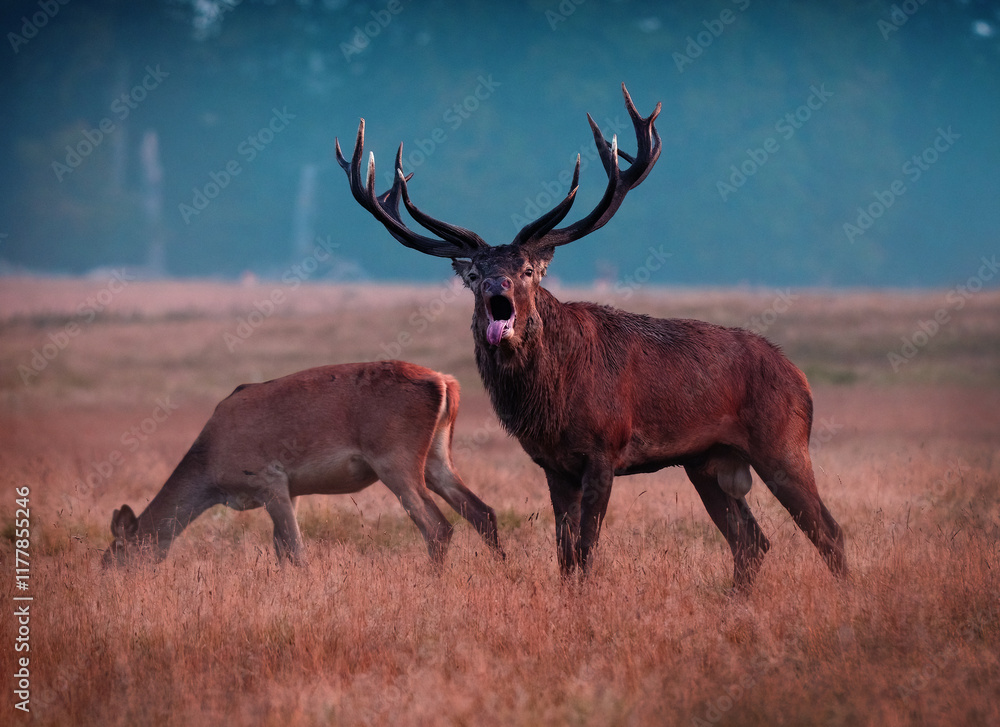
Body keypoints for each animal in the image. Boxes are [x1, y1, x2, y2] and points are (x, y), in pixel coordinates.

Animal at [103, 361, 504, 567]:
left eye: (117, 552)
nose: (108, 576)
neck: (211, 470)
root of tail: (446, 383)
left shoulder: (268, 480)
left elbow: (295, 552)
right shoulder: (290, 491)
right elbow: (282, 551)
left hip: (395, 460)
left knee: (437, 526)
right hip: (436, 456)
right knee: (482, 511)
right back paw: (504, 572)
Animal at [335, 84, 848, 589]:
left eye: (526, 269)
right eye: (476, 273)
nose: (497, 287)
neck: (551, 402)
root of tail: (799, 376)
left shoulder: (604, 449)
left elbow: (585, 549)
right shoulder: (552, 463)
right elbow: (564, 554)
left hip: (782, 442)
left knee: (828, 531)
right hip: (707, 460)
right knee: (752, 541)